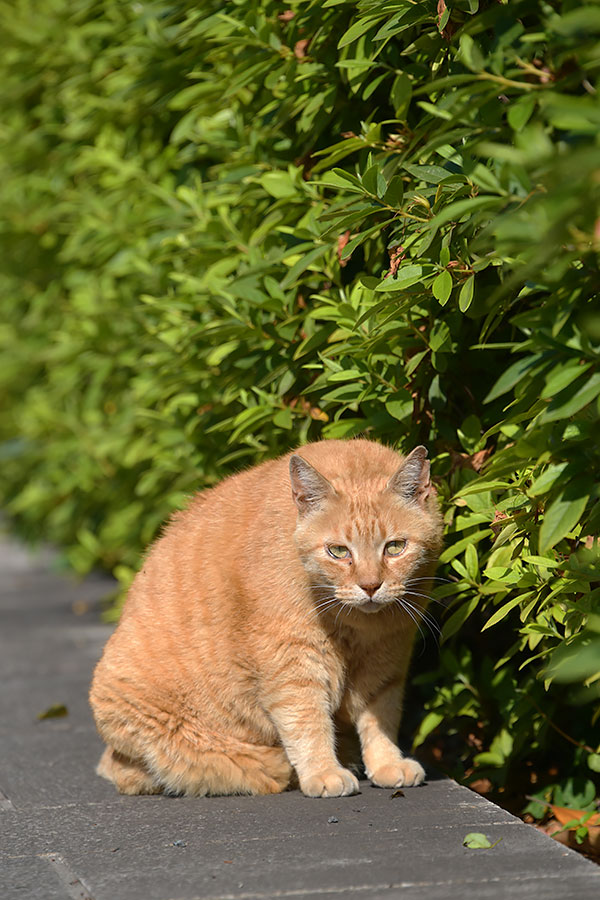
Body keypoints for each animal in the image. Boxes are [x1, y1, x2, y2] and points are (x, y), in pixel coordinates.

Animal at [91, 440, 442, 800]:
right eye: (339, 552)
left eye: (395, 547)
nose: (370, 586)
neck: (358, 626)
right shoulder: (293, 662)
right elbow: (307, 721)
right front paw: (323, 772)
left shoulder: (387, 658)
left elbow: (381, 717)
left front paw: (387, 763)